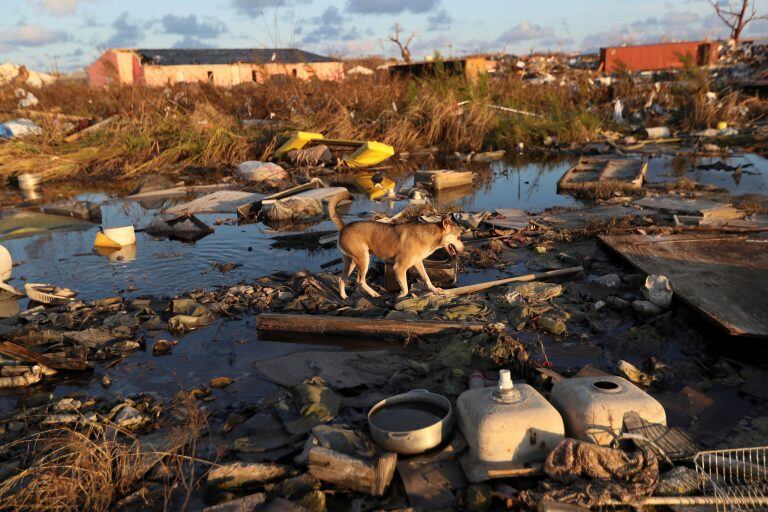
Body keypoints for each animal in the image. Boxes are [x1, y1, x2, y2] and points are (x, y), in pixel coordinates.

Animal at [328, 195, 464, 300]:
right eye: (458, 237)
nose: (463, 249)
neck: (427, 235)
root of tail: (343, 227)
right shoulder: (399, 267)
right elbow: (405, 287)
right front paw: (401, 295)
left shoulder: (418, 262)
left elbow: (427, 278)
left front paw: (435, 290)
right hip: (363, 259)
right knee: (359, 280)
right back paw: (374, 293)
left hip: (351, 262)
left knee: (342, 279)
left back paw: (344, 296)